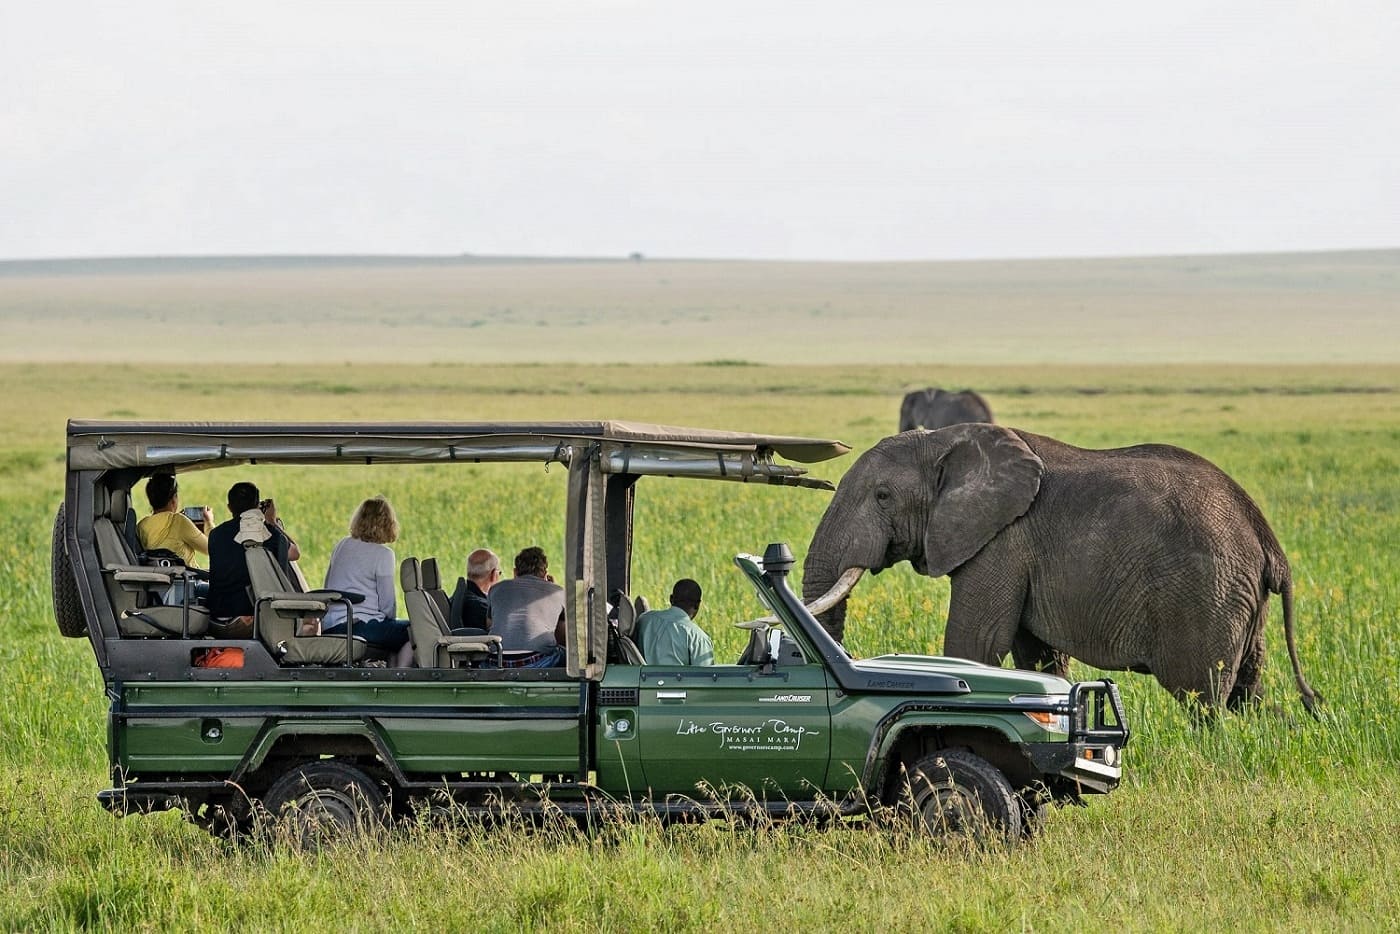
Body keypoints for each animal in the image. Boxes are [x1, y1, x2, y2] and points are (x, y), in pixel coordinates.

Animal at [802, 424, 1320, 714]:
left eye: (883, 495)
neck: (945, 442)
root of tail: (1266, 538)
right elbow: (1037, 655)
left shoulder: (1003, 541)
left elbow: (976, 642)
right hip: (1240, 597)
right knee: (1247, 692)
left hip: (1206, 591)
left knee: (1203, 696)